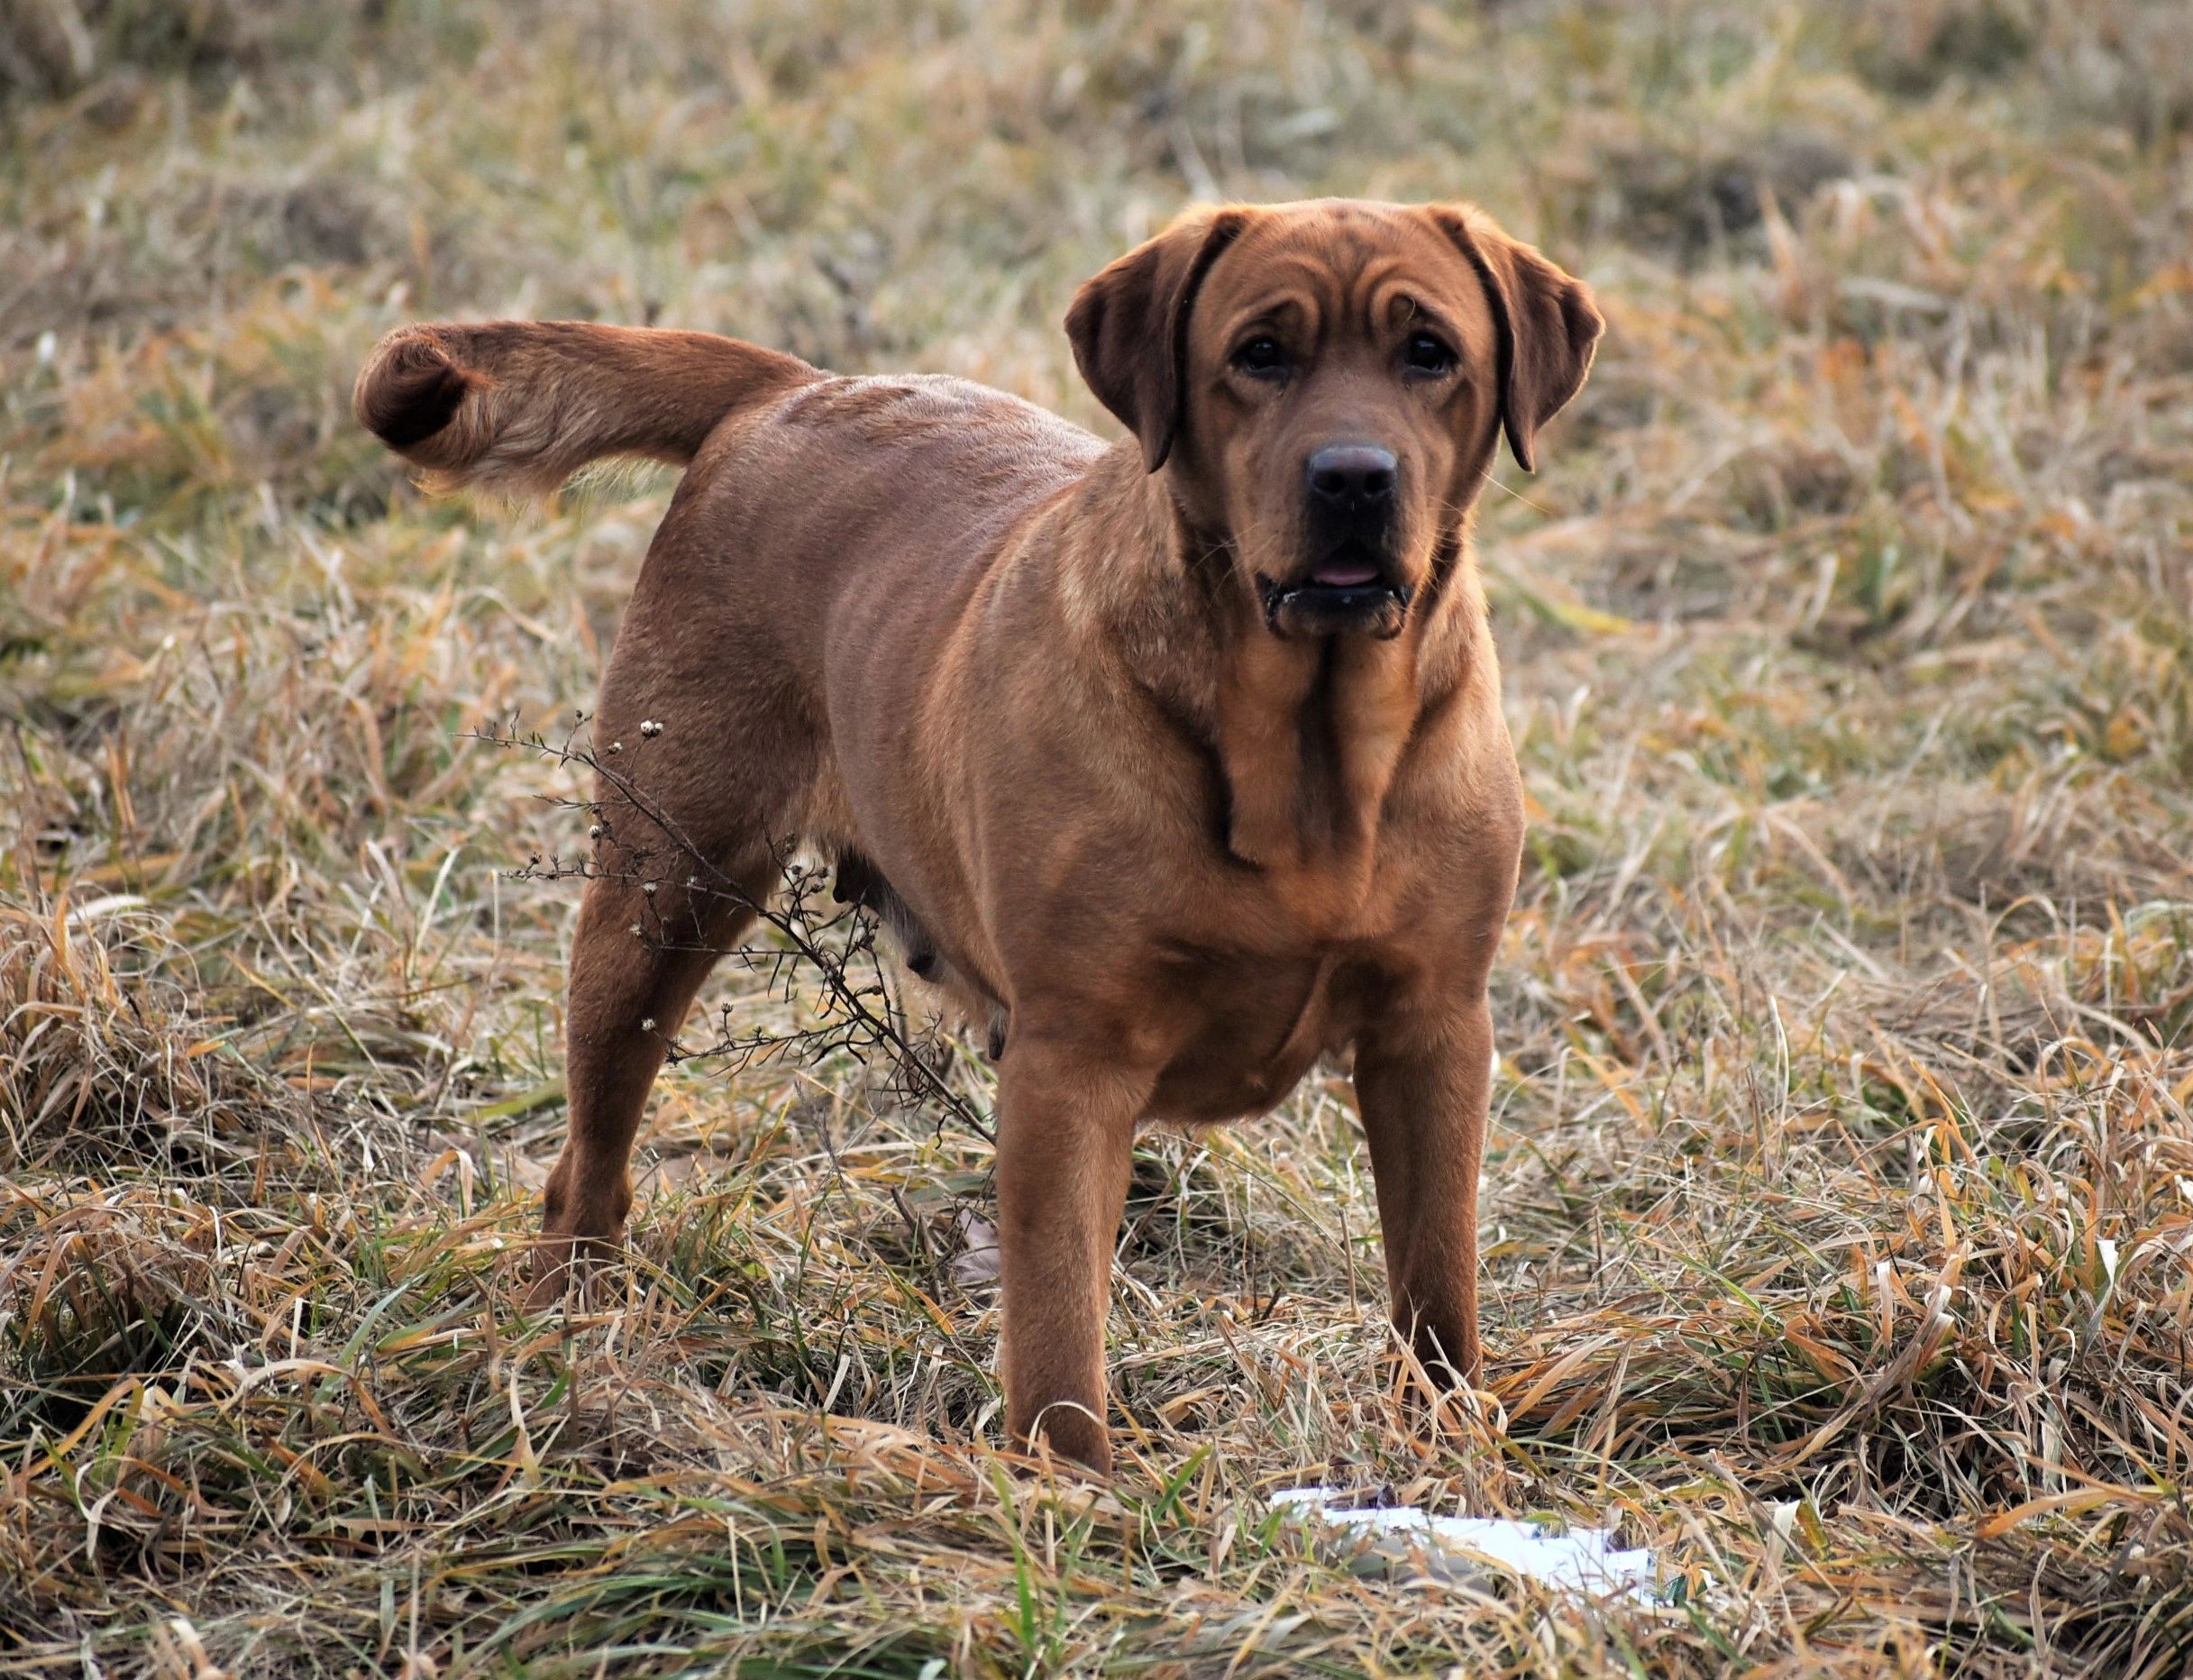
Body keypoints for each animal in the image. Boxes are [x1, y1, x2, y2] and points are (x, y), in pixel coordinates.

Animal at [355, 204, 1596, 1482]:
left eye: (1429, 353)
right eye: (1260, 354)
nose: (1353, 477)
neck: (1304, 751)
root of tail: (794, 386)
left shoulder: (1434, 1033)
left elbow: (1436, 1285)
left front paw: (1445, 1450)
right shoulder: (1070, 1062)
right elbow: (1056, 1327)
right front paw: (1072, 1494)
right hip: (660, 899)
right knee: (587, 1165)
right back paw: (569, 1349)